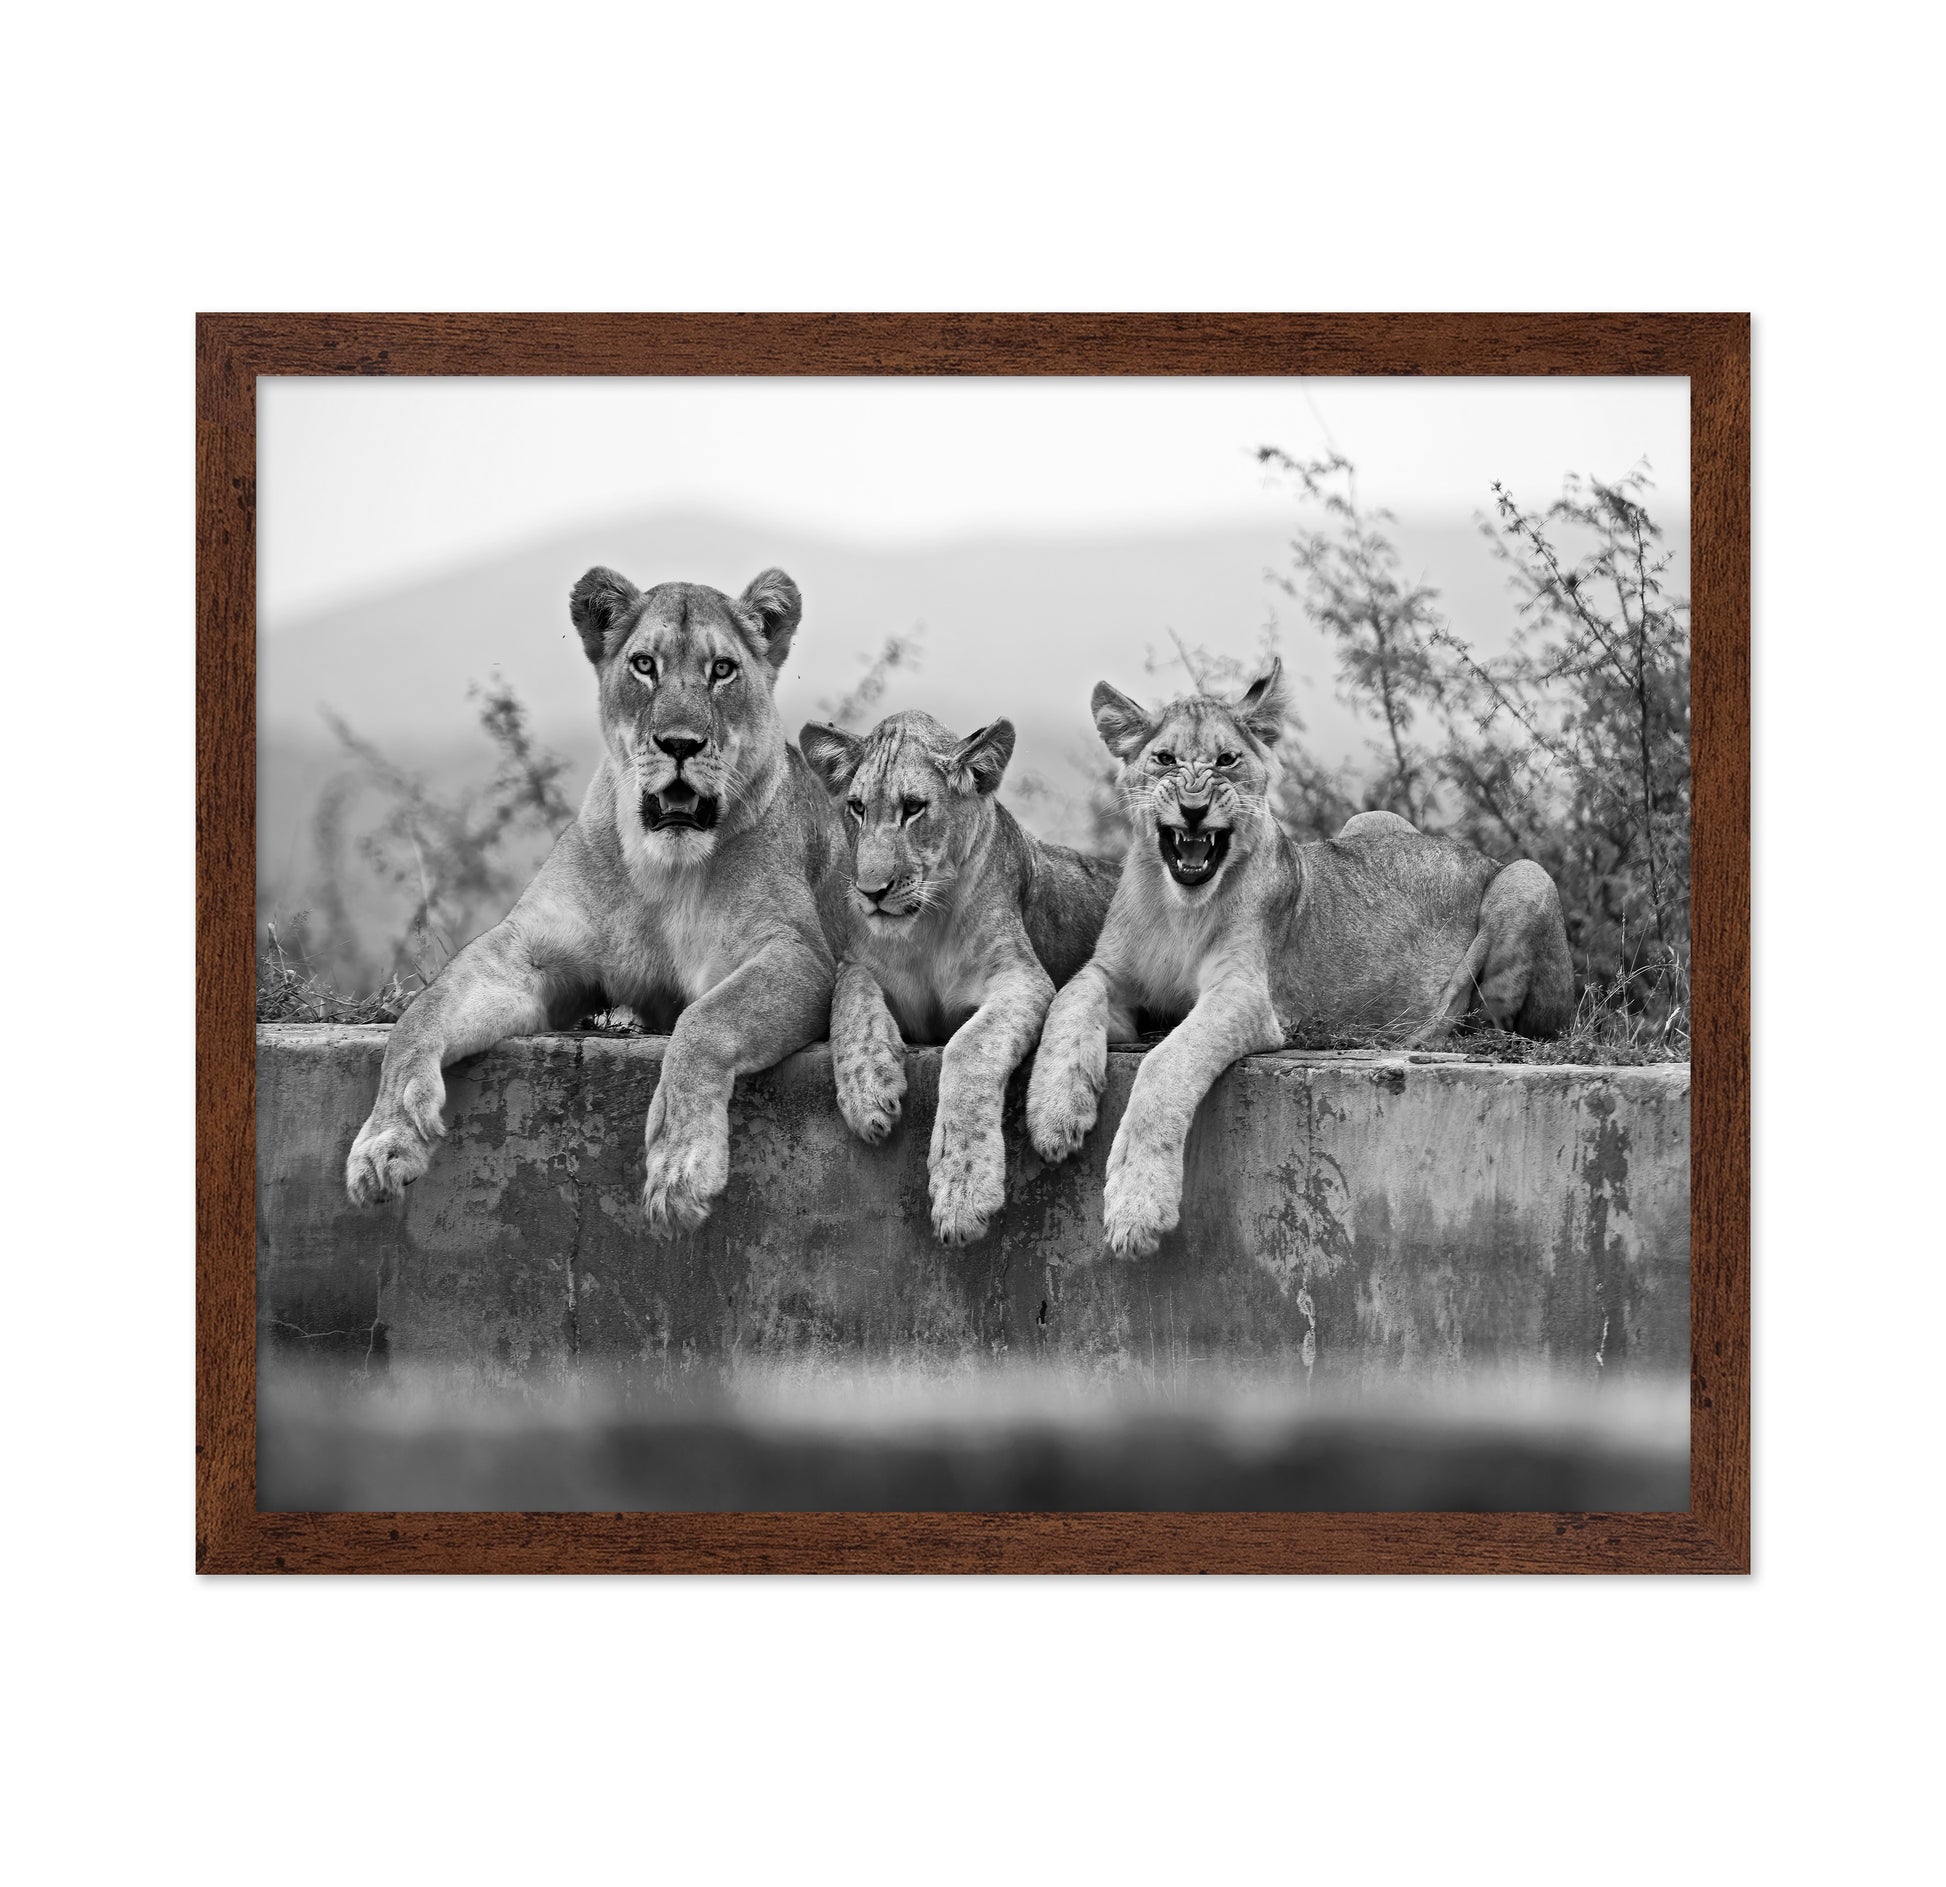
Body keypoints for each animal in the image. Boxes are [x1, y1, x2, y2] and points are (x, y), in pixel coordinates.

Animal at [345, 566, 847, 1235]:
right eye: (644, 665)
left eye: (722, 669)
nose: (680, 743)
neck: (662, 870)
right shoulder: (526, 950)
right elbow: (421, 1013)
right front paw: (387, 1136)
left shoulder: (798, 954)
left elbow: (703, 1021)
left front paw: (680, 1164)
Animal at [798, 710, 1120, 1247]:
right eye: (857, 808)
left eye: (913, 808)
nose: (870, 891)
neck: (924, 927)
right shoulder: (861, 964)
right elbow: (849, 995)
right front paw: (868, 1089)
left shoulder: (1023, 978)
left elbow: (968, 1046)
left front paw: (962, 1190)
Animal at [1026, 661, 1574, 1258]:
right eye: (1165, 759)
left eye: (1226, 760)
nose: (1193, 810)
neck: (1179, 908)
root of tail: (1481, 855)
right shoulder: (1111, 976)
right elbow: (1068, 1000)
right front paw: (1054, 1115)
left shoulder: (1247, 995)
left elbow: (1165, 1062)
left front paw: (1136, 1207)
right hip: (1371, 820)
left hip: (1527, 878)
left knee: (1497, 1028)